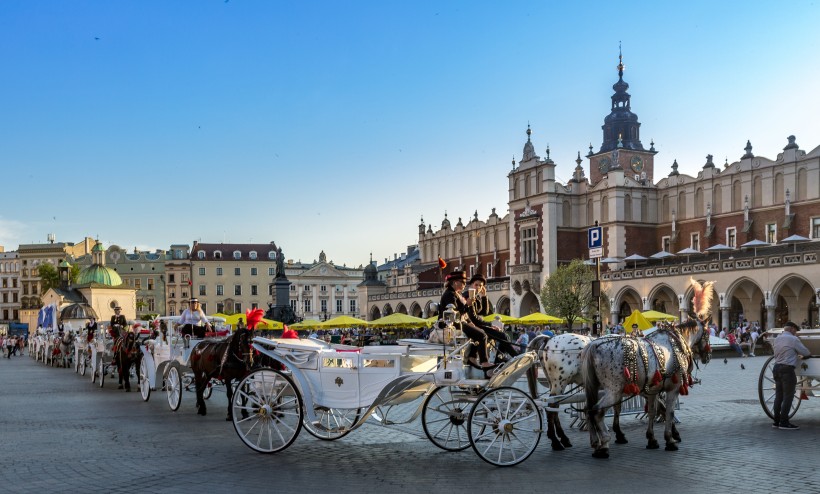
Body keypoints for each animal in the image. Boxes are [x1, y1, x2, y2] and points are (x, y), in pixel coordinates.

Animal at [576, 320, 712, 460]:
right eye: (708, 334)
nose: (708, 356)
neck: (676, 342)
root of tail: (593, 345)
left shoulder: (652, 391)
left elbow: (653, 411)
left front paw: (652, 439)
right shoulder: (673, 389)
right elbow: (669, 412)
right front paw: (670, 440)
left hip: (596, 387)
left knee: (588, 409)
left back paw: (596, 443)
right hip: (614, 390)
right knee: (597, 411)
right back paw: (604, 444)